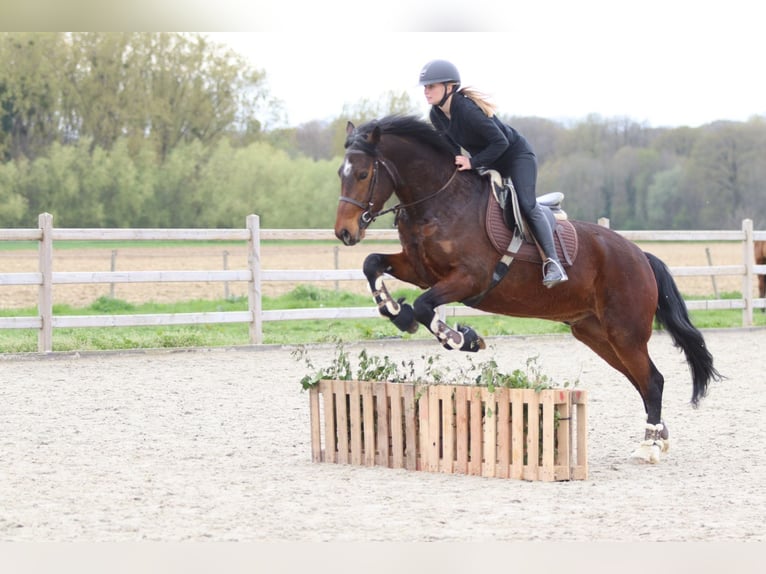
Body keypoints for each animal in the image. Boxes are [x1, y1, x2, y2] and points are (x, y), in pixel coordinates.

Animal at [334, 115, 722, 463]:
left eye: (364, 174)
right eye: (341, 174)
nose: (344, 232)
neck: (439, 202)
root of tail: (641, 255)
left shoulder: (469, 278)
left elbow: (425, 306)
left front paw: (464, 338)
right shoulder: (420, 270)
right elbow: (373, 264)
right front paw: (394, 311)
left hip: (624, 332)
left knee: (652, 381)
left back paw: (649, 447)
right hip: (595, 333)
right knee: (641, 380)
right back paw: (659, 436)